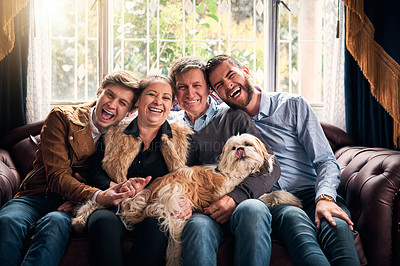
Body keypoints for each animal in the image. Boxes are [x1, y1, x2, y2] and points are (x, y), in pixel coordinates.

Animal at [72, 134, 300, 266]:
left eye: (248, 144)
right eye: (233, 148)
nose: (241, 150)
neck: (236, 173)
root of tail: (148, 192)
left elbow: (269, 194)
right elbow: (266, 195)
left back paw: (79, 220)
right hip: (177, 213)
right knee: (174, 245)